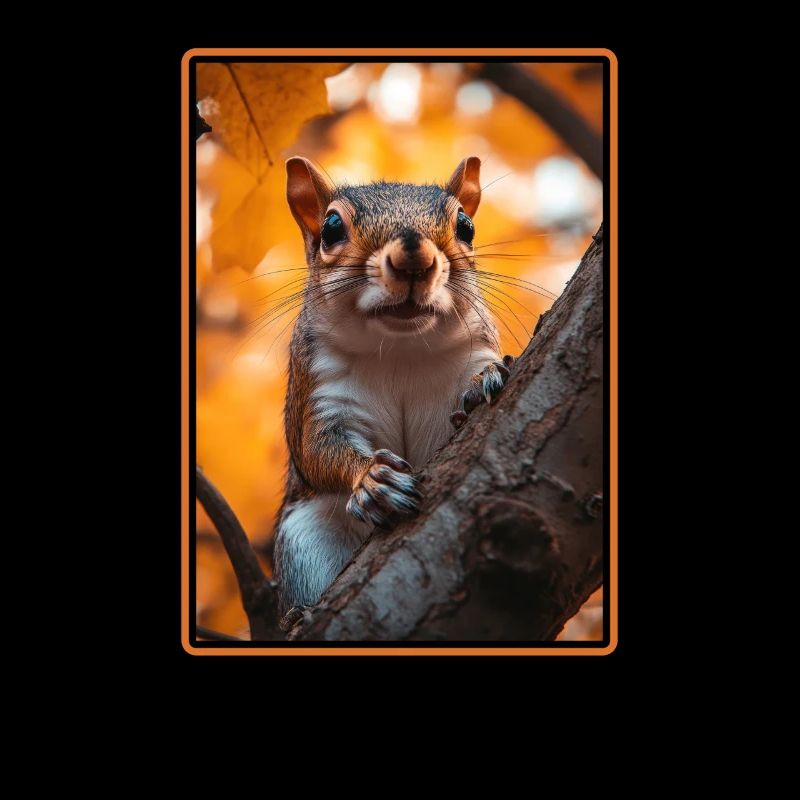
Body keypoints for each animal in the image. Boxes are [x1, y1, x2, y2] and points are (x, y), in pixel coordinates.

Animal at [273, 156, 514, 618]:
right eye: (331, 227)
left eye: (466, 226)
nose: (413, 258)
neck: (402, 348)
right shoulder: (320, 390)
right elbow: (316, 449)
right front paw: (373, 481)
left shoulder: (474, 349)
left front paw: (486, 381)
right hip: (305, 541)